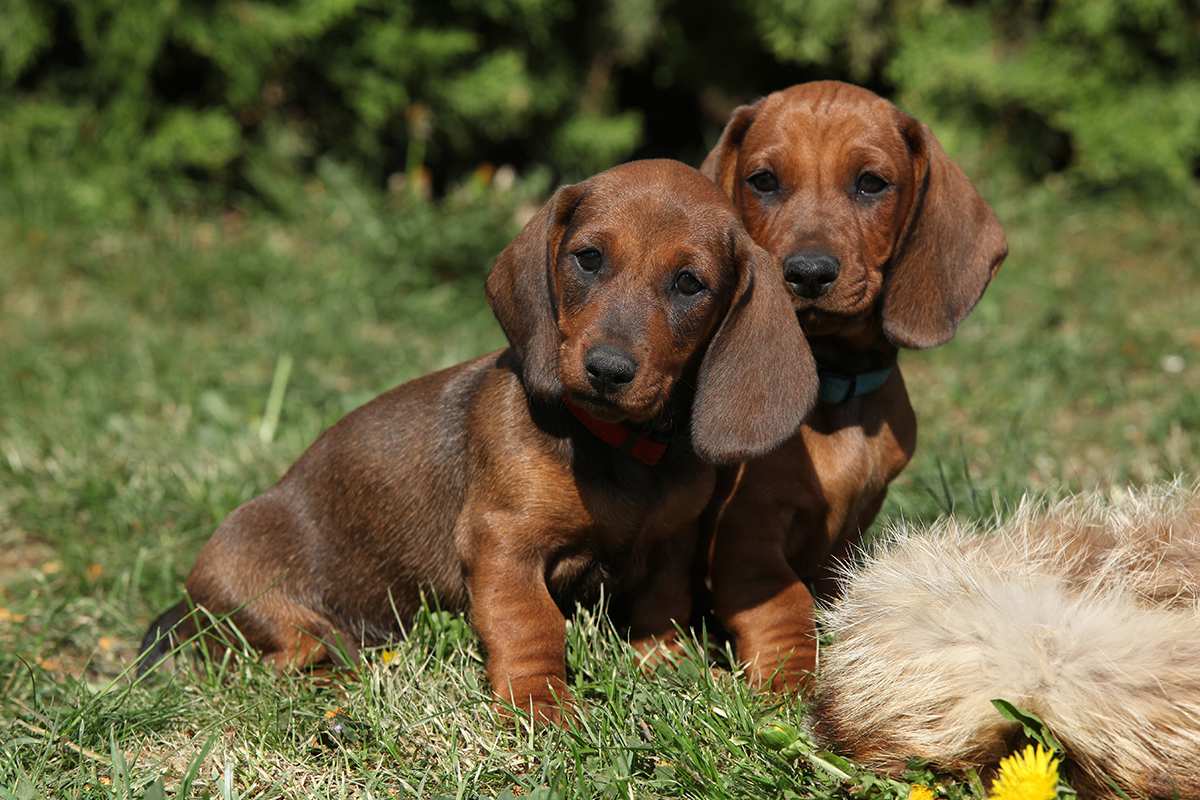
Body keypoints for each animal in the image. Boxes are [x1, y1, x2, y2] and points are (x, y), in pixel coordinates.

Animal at [138, 159, 816, 724]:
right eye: (588, 258)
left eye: (689, 284)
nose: (607, 369)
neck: (618, 451)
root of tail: (190, 601)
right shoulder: (502, 544)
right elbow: (530, 625)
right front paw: (542, 706)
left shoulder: (671, 544)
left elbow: (662, 607)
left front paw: (667, 667)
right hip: (266, 604)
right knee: (284, 662)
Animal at [700, 82, 1008, 695]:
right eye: (762, 181)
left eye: (871, 183)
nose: (808, 273)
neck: (833, 389)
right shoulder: (745, 533)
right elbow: (785, 602)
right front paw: (791, 679)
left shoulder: (852, 527)